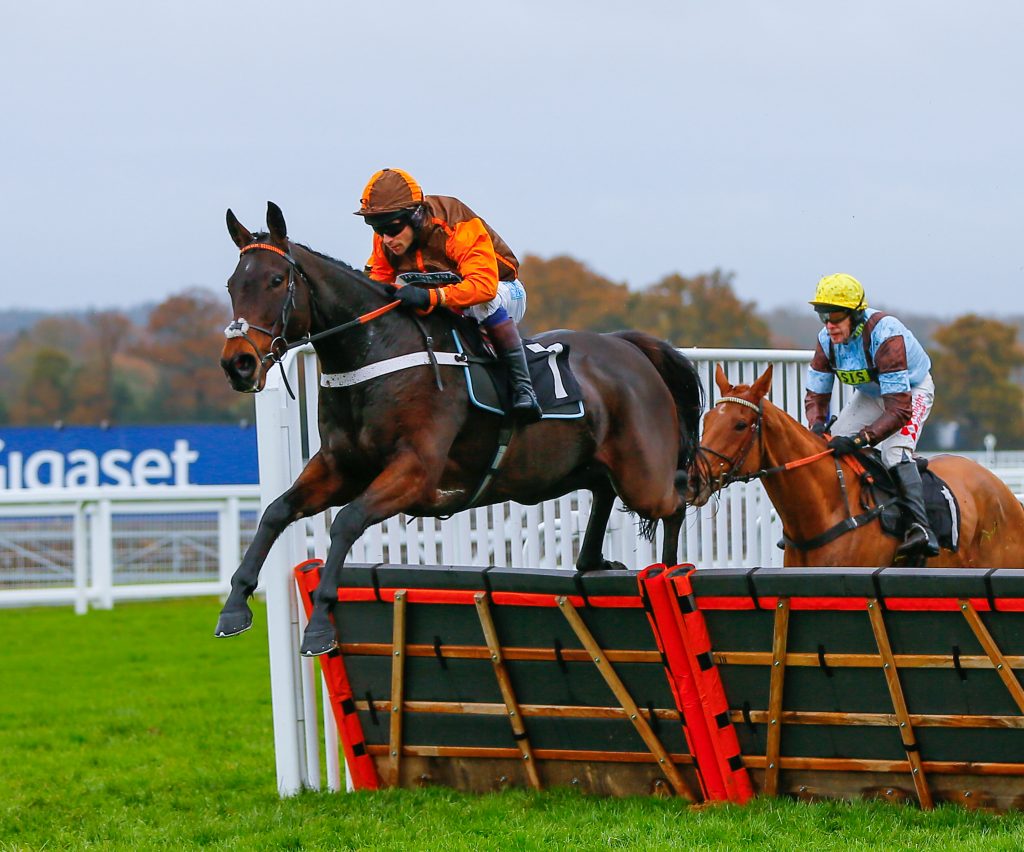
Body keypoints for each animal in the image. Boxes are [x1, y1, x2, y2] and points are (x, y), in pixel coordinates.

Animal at [216, 202, 704, 655]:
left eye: (275, 280)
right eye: (232, 284)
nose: (238, 364)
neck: (376, 355)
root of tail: (628, 346)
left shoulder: (416, 470)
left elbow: (347, 521)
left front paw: (319, 625)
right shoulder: (339, 466)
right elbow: (276, 511)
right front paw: (235, 606)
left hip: (643, 476)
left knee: (678, 494)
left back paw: (669, 575)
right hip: (578, 467)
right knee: (605, 490)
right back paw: (594, 561)